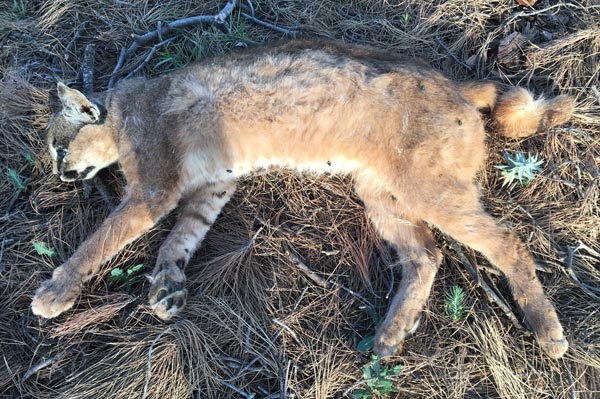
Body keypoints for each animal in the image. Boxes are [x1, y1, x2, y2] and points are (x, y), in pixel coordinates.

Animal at [30, 40, 576, 360]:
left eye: (59, 147)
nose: (58, 173)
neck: (122, 109)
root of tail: (456, 81)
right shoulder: (212, 187)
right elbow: (181, 237)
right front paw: (167, 284)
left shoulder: (152, 189)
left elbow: (100, 241)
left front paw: (56, 291)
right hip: (380, 191)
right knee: (426, 254)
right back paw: (390, 334)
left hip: (428, 188)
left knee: (508, 243)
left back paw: (547, 329)